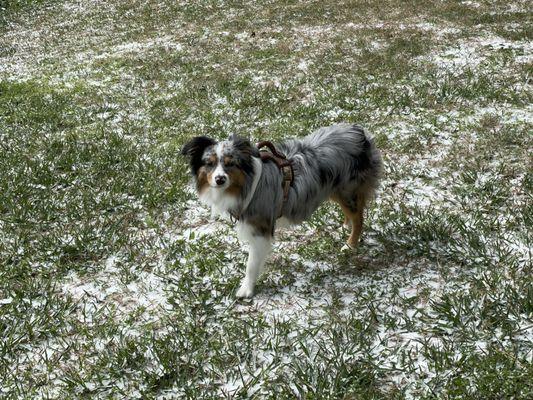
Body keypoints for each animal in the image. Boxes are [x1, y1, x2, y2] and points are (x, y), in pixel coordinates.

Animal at [181, 124, 380, 296]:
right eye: (209, 163)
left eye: (231, 164)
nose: (220, 179)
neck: (246, 184)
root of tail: (359, 132)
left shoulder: (260, 229)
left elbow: (251, 264)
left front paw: (246, 290)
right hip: (335, 189)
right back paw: (344, 227)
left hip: (347, 191)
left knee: (359, 218)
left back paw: (350, 244)